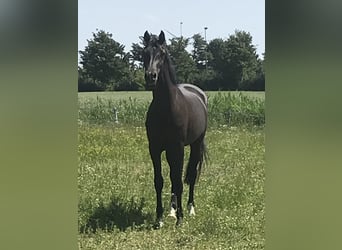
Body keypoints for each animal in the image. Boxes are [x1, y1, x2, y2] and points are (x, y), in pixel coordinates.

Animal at [142, 30, 208, 228]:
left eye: (162, 53)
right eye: (144, 53)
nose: (151, 76)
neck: (166, 107)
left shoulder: (178, 147)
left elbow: (179, 181)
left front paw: (180, 219)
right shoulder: (155, 148)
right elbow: (159, 181)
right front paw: (159, 218)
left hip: (195, 144)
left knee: (190, 175)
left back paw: (189, 208)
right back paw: (172, 209)